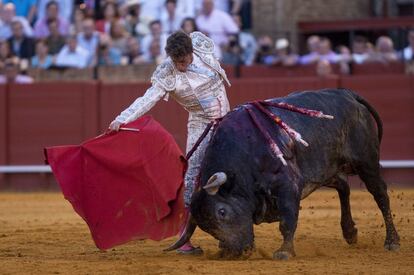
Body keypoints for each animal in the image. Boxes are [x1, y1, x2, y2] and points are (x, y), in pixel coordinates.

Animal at [167, 89, 400, 260]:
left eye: (222, 212)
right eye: (205, 227)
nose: (234, 252)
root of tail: (348, 94)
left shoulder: (288, 186)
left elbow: (287, 220)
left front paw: (284, 252)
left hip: (366, 162)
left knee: (380, 195)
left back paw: (392, 241)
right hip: (326, 168)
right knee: (344, 186)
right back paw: (350, 232)